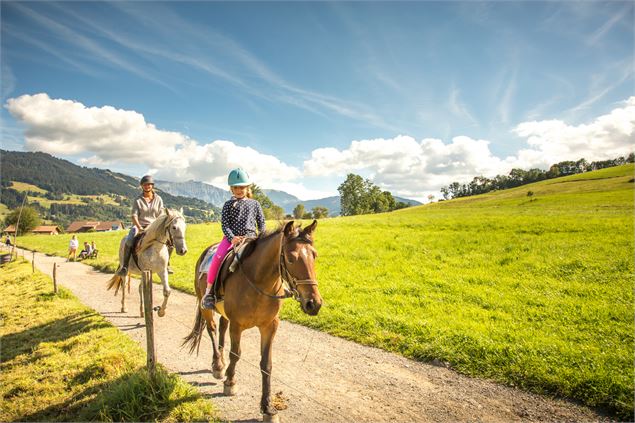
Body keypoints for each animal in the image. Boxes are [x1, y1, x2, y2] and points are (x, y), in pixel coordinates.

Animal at [184, 220, 322, 422]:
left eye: (314, 255)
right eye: (290, 258)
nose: (314, 304)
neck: (259, 283)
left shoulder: (269, 326)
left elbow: (266, 364)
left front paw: (268, 408)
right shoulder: (237, 325)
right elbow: (236, 354)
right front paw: (230, 382)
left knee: (221, 329)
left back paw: (221, 362)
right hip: (205, 307)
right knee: (212, 329)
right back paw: (218, 365)